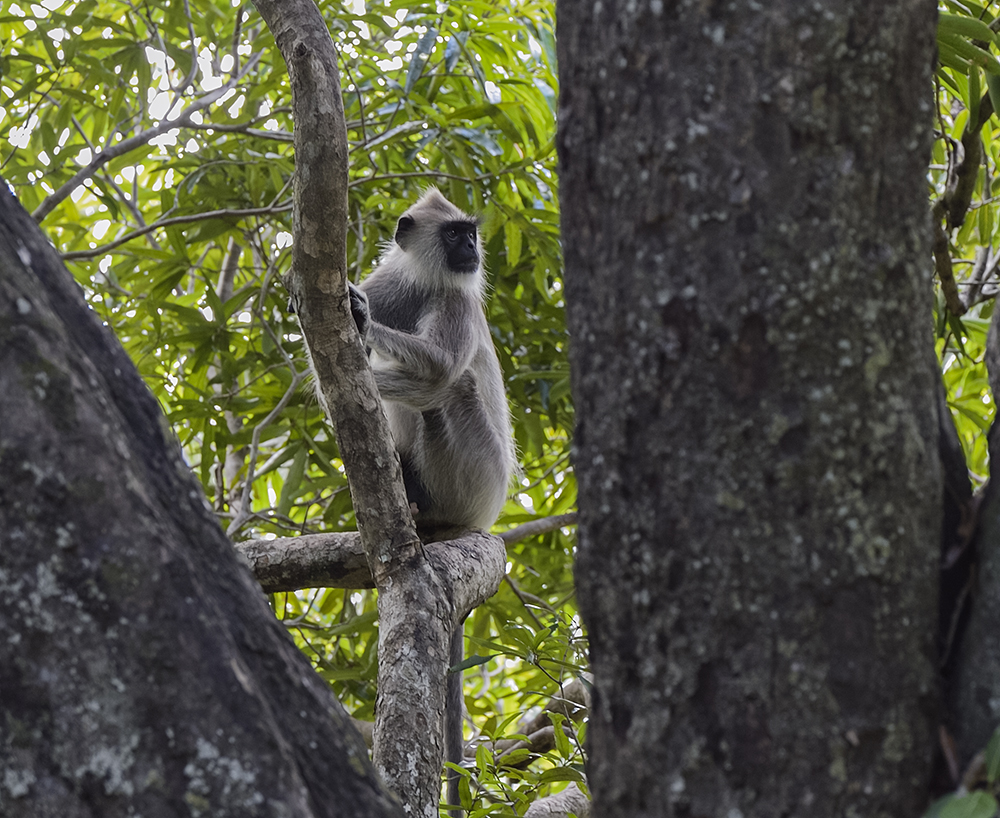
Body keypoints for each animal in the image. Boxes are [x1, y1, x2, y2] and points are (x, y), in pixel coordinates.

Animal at [344, 188, 516, 812]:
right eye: (454, 235)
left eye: (470, 232)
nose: (472, 249)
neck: (428, 277)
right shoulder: (392, 278)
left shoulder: (458, 298)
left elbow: (440, 366)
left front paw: (362, 323)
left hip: (478, 474)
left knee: (449, 382)